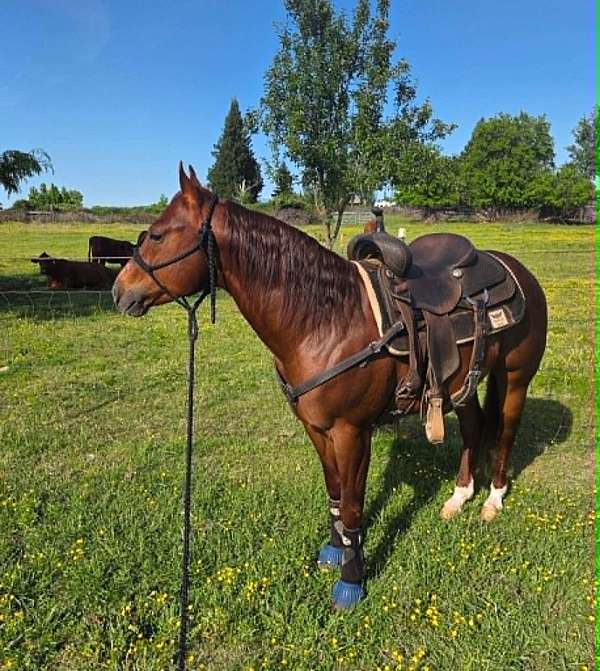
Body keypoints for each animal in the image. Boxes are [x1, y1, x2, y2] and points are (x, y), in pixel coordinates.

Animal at [113, 164, 547, 609]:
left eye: (158, 235)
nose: (119, 291)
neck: (326, 321)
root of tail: (516, 271)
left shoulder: (351, 432)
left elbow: (353, 505)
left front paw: (351, 580)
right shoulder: (317, 429)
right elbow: (335, 493)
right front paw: (335, 550)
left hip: (514, 380)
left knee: (505, 434)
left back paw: (492, 500)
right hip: (461, 386)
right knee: (475, 428)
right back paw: (459, 497)